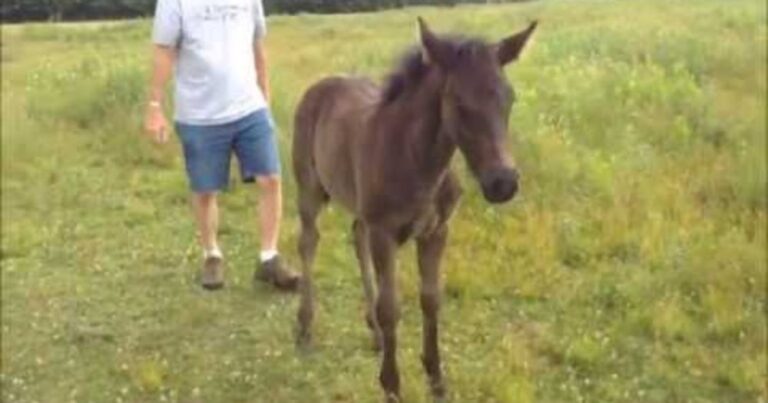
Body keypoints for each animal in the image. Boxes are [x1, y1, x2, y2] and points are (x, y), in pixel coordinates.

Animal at [292, 18, 536, 400]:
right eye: (458, 101)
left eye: (509, 98)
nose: (503, 183)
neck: (418, 162)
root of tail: (322, 83)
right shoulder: (384, 233)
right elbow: (391, 307)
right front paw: (391, 385)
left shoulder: (436, 231)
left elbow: (431, 299)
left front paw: (436, 379)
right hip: (309, 187)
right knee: (308, 242)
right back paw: (305, 325)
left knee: (355, 237)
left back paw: (375, 334)